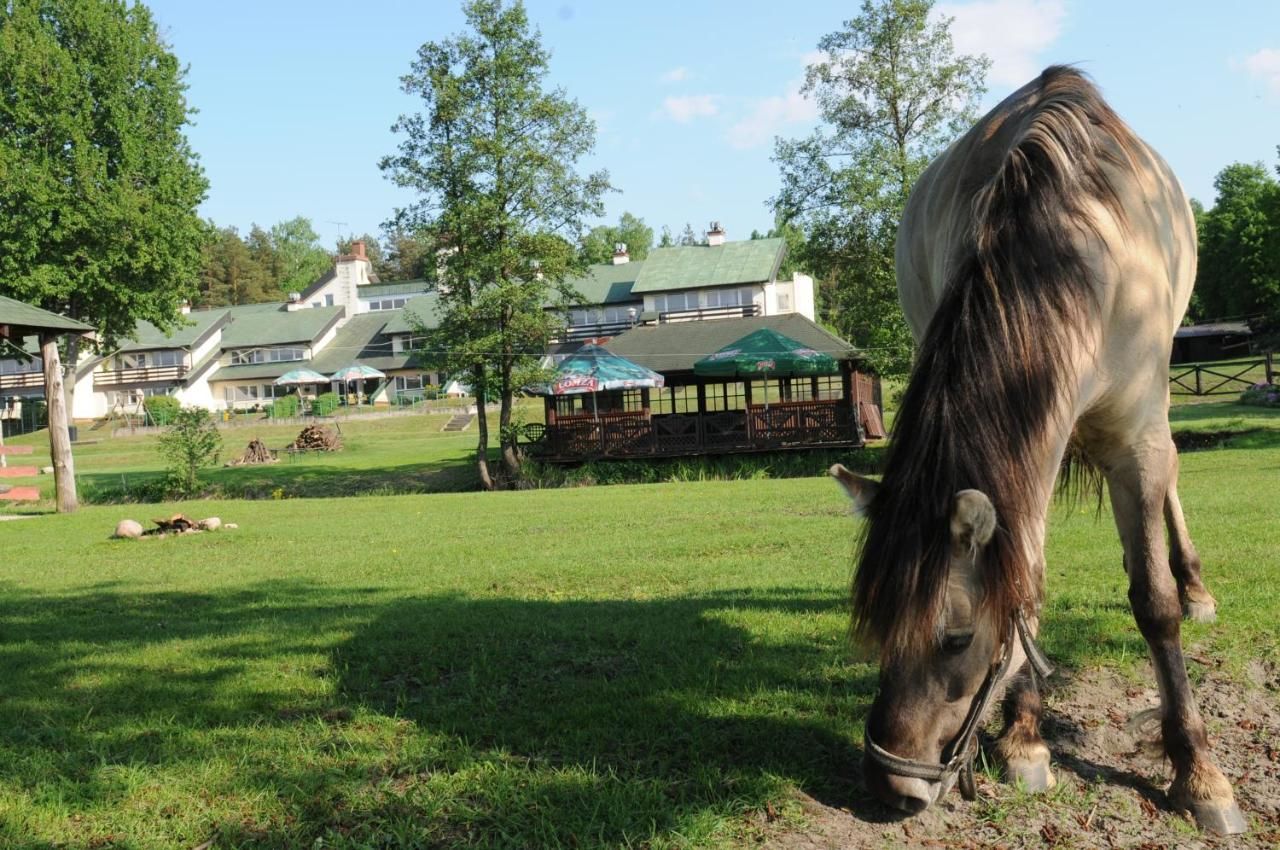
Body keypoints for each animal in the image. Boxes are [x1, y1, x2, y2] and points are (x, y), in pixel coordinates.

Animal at [829, 68, 1239, 834]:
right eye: (876, 625)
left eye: (955, 639)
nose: (889, 785)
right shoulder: (1026, 460)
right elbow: (1025, 588)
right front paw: (1024, 740)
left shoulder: (1137, 439)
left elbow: (1155, 606)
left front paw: (1200, 773)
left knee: (1171, 485)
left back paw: (1196, 586)